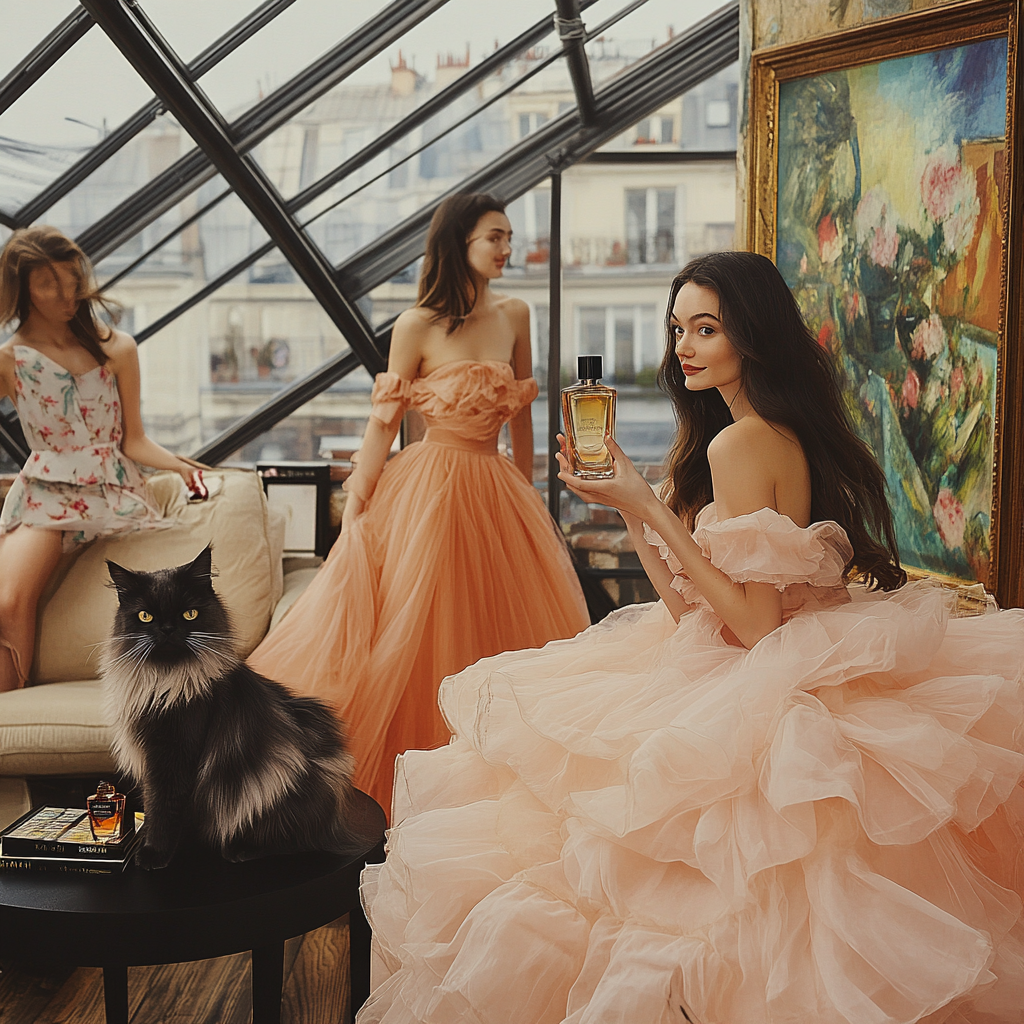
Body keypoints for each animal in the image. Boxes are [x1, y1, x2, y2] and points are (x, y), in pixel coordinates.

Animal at [99, 548, 356, 868]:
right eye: (146, 616)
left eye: (189, 613)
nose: (168, 630)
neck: (165, 681)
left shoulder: (174, 754)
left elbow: (163, 808)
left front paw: (153, 853)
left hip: (279, 784)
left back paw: (238, 851)